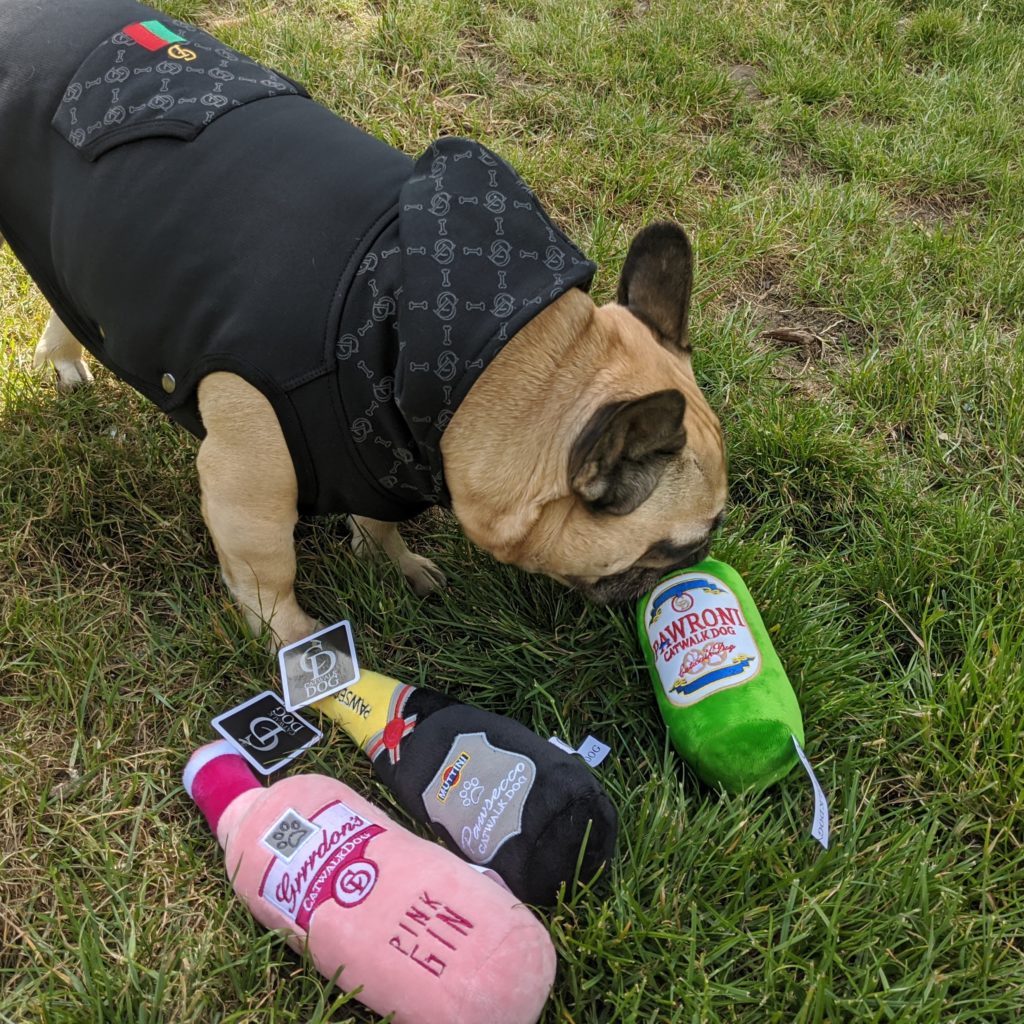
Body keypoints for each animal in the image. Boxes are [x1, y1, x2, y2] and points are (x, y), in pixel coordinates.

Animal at [1, 0, 727, 651]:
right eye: (681, 545)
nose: (698, 566)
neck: (500, 359)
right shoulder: (246, 489)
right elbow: (269, 573)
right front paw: (295, 644)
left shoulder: (377, 453)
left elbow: (378, 523)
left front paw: (395, 564)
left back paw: (64, 356)